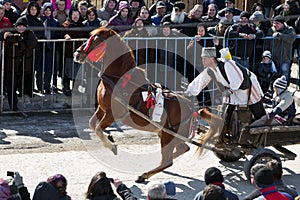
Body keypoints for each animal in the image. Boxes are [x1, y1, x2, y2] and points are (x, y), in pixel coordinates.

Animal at [73, 27, 221, 182]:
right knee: (182, 149)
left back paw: (145, 174)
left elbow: (97, 129)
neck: (118, 80)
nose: (77, 53)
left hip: (168, 135)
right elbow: (91, 124)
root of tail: (192, 107)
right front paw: (110, 140)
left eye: (96, 39)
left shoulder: (113, 113)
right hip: (168, 133)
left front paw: (112, 145)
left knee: (168, 159)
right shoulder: (102, 109)